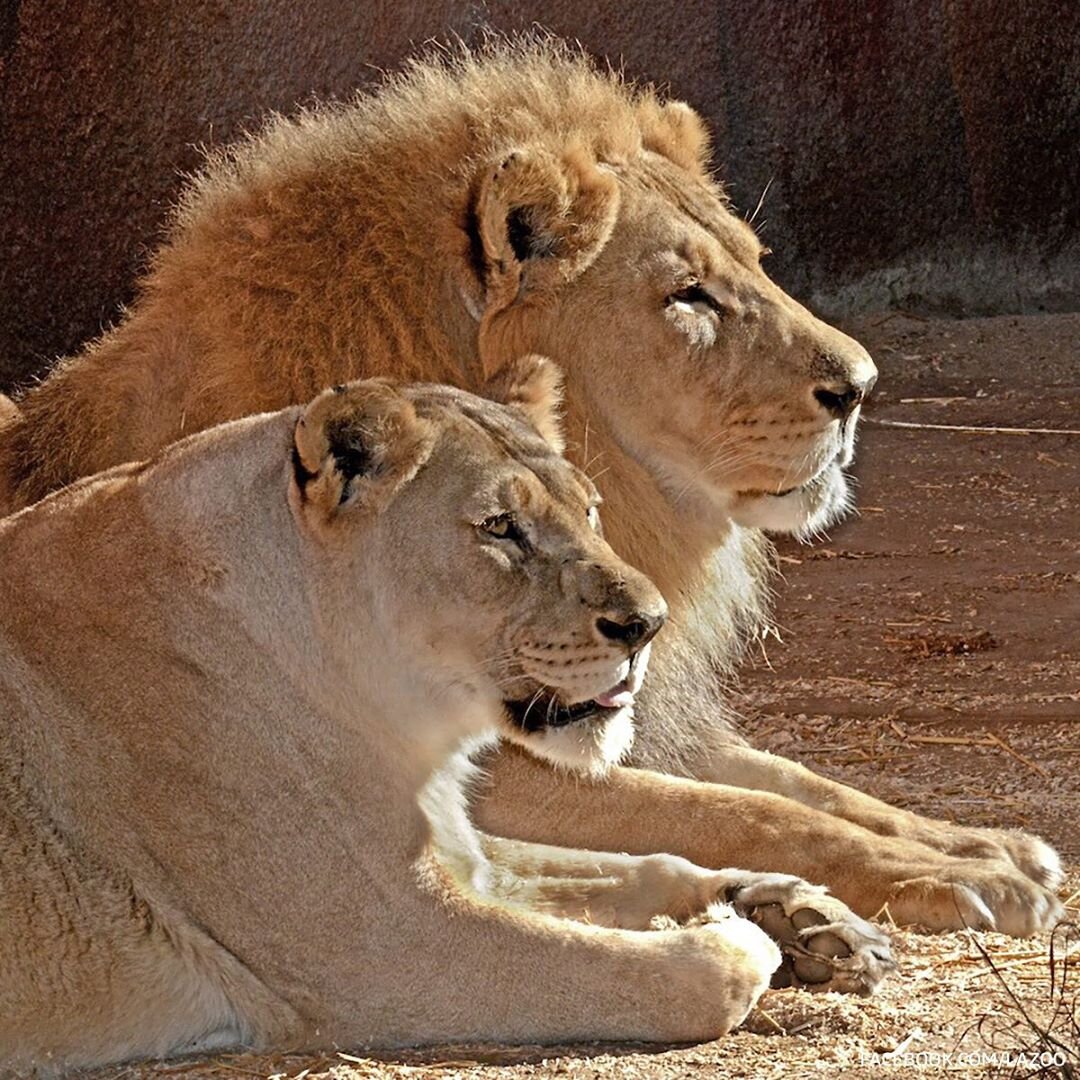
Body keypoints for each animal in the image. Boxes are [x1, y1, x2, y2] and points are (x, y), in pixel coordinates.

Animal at [0, 373, 894, 1071]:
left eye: (591, 512)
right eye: (500, 528)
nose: (648, 625)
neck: (408, 729)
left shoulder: (455, 860)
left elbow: (641, 865)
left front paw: (793, 911)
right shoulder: (391, 946)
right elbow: (649, 975)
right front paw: (740, 938)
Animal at [2, 42, 1062, 933]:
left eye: (759, 266)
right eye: (689, 296)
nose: (862, 387)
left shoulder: (642, 718)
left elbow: (811, 786)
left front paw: (986, 845)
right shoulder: (500, 768)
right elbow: (745, 812)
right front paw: (963, 878)